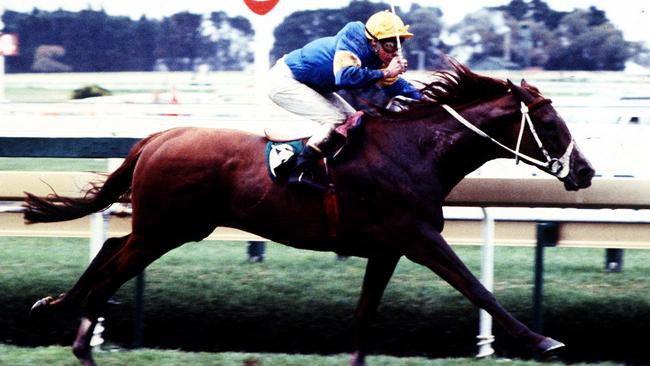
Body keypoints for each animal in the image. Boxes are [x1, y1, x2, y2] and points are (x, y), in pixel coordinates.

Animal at [25, 61, 592, 364]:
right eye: (552, 123)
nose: (585, 172)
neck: (414, 150)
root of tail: (159, 136)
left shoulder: (387, 249)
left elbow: (365, 315)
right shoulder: (420, 238)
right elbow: (477, 289)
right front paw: (543, 339)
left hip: (169, 227)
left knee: (111, 247)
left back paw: (60, 306)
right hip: (167, 229)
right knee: (114, 266)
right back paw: (79, 335)